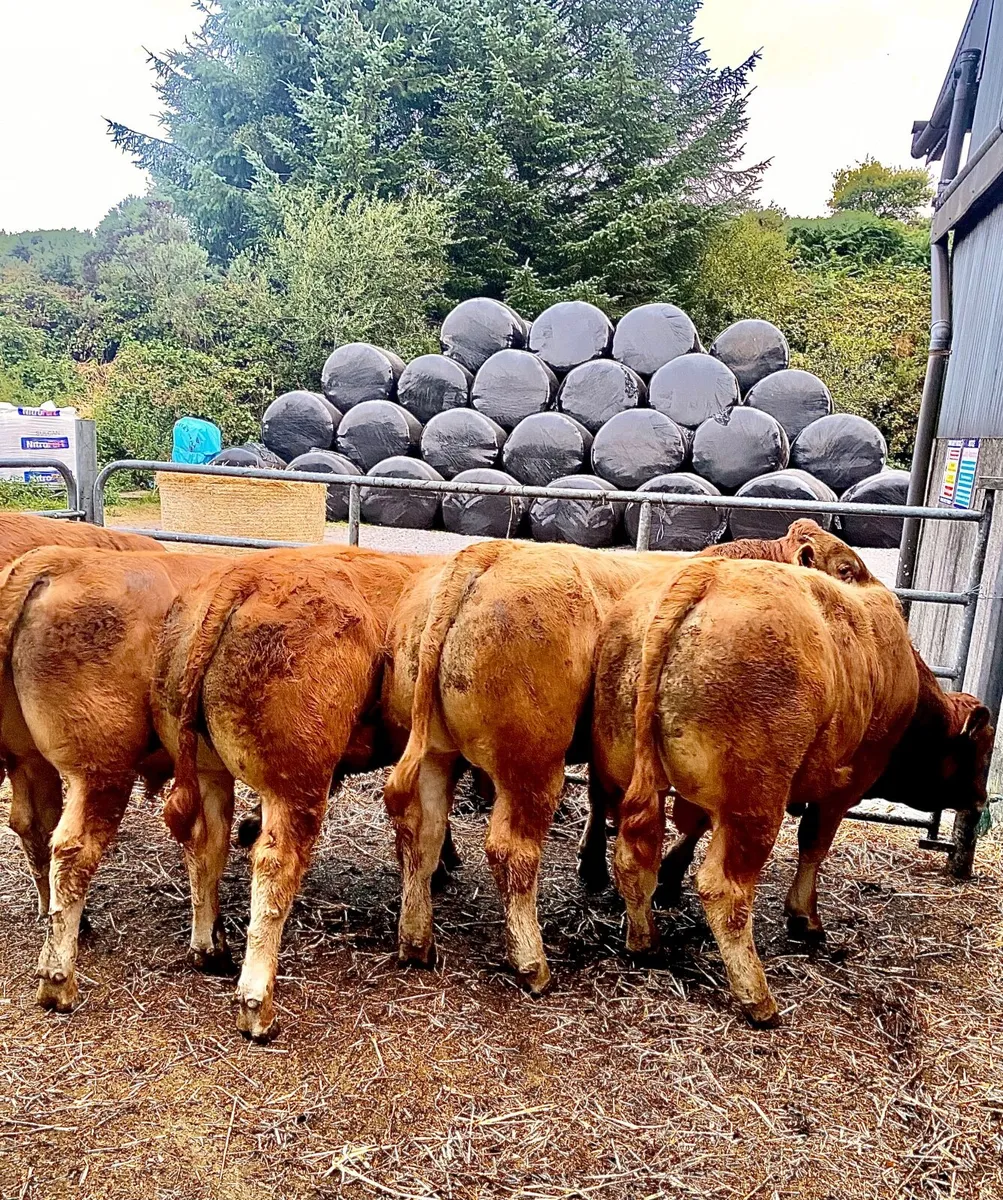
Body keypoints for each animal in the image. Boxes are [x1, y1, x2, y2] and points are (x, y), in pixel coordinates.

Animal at [0, 546, 232, 1012]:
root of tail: (54, 562)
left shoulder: (212, 772)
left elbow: (210, 846)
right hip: (101, 772)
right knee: (73, 850)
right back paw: (58, 980)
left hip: (27, 759)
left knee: (34, 827)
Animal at [155, 545, 446, 1042]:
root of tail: (244, 578)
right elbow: (426, 835)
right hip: (297, 790)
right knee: (274, 864)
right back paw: (257, 1005)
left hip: (209, 773)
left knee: (206, 846)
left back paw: (209, 950)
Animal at [382, 521, 870, 996]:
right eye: (845, 570)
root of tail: (484, 553)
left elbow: (604, 800)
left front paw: (595, 863)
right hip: (531, 766)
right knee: (511, 851)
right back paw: (532, 965)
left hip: (433, 751)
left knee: (419, 832)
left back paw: (417, 939)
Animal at [592, 556, 992, 1027]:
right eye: (981, 751)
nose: (981, 801)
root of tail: (703, 574)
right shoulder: (844, 787)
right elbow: (813, 845)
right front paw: (805, 917)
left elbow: (692, 827)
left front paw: (671, 878)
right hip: (756, 804)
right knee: (724, 889)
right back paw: (758, 998)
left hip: (629, 777)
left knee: (632, 858)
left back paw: (645, 941)